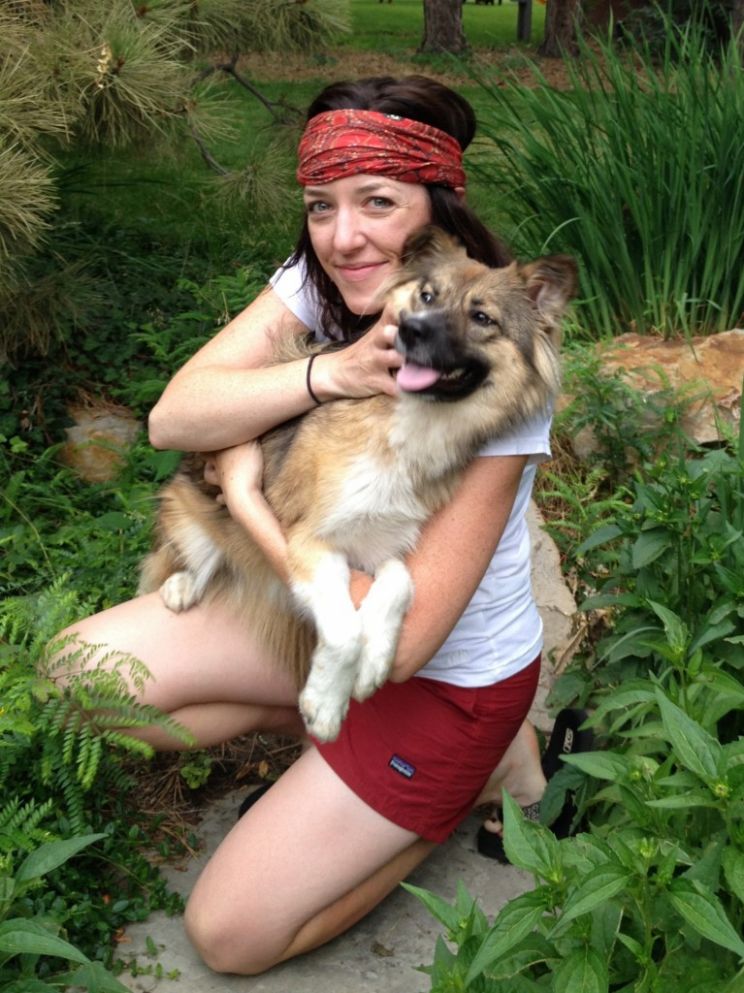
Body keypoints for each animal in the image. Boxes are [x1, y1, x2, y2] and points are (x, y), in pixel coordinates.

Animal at [138, 226, 577, 741]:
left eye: (482, 316)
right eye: (427, 296)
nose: (412, 330)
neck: (409, 423)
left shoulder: (380, 543)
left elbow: (400, 581)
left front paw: (372, 664)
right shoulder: (308, 540)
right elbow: (346, 632)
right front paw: (327, 703)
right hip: (193, 521)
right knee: (189, 559)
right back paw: (182, 585)